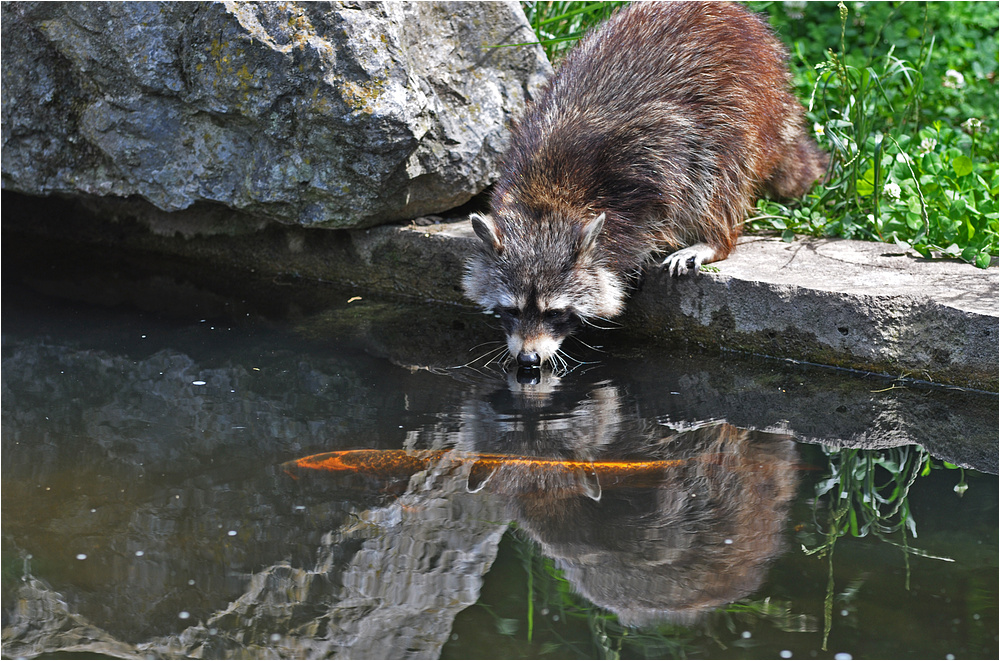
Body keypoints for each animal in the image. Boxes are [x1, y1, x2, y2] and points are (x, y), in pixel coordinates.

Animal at [464, 2, 824, 368]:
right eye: (511, 310)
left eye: (554, 313)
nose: (528, 359)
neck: (547, 199)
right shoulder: (524, 146)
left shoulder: (652, 149)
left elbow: (679, 165)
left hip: (746, 100)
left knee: (718, 172)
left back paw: (714, 238)